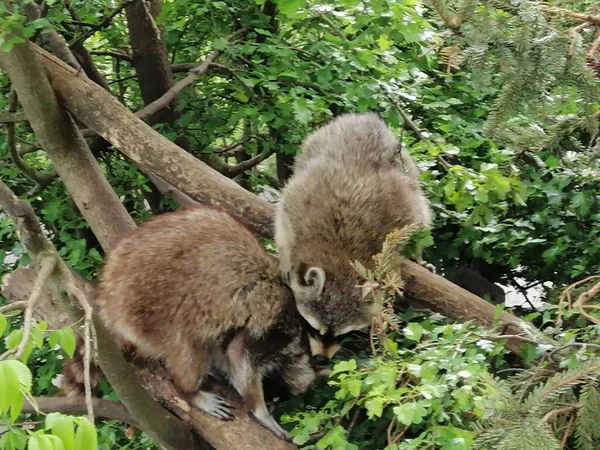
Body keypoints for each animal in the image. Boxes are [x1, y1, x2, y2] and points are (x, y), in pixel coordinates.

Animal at [79, 206, 340, 442]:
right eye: (273, 394)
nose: (272, 402)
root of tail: (109, 292)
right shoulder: (277, 321)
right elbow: (238, 353)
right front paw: (260, 411)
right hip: (147, 307)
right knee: (187, 343)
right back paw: (188, 390)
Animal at [274, 111, 434, 338]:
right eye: (312, 328)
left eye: (343, 334)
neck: (341, 254)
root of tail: (367, 117)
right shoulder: (301, 201)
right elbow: (283, 217)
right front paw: (286, 253)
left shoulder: (400, 220)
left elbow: (414, 227)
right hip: (312, 145)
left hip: (409, 169)